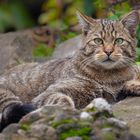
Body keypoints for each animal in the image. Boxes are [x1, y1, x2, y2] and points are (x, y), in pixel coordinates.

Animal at [0, 10, 139, 131]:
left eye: (119, 41)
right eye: (98, 40)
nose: (108, 51)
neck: (110, 77)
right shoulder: (48, 93)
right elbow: (63, 102)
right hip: (9, 99)